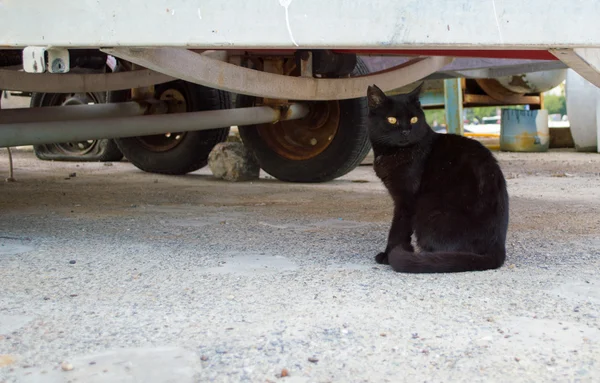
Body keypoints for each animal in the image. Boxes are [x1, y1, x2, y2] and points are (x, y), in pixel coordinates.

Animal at [366, 85, 506, 272]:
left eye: (414, 119)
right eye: (392, 120)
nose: (406, 131)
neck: (393, 152)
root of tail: (496, 249)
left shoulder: (406, 200)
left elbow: (398, 229)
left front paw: (388, 255)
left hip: (429, 209)